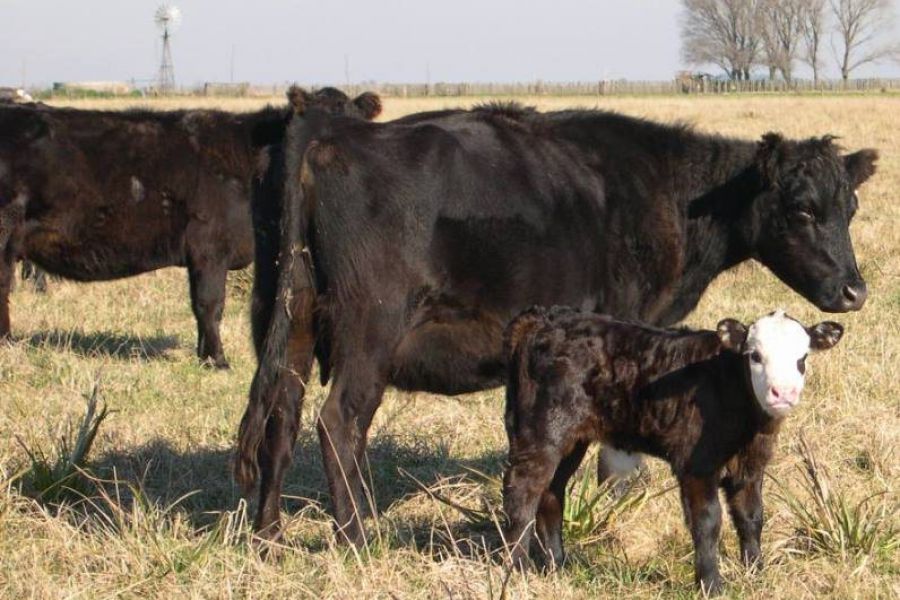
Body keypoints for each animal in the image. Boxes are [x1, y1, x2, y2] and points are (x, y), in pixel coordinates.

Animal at [239, 102, 880, 544]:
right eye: (802, 209)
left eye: (849, 208)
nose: (855, 290)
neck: (668, 193)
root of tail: (329, 136)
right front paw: (616, 500)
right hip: (369, 333)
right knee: (338, 424)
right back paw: (355, 538)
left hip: (291, 322)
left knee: (280, 419)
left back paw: (268, 537)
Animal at [506, 308, 844, 592]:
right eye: (755, 356)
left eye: (803, 357)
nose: (782, 393)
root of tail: (544, 319)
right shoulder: (697, 465)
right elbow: (707, 522)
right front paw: (711, 586)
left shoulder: (750, 466)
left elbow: (751, 517)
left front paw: (755, 574)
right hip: (542, 432)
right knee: (522, 494)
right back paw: (518, 569)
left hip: (572, 441)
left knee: (551, 493)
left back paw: (557, 565)